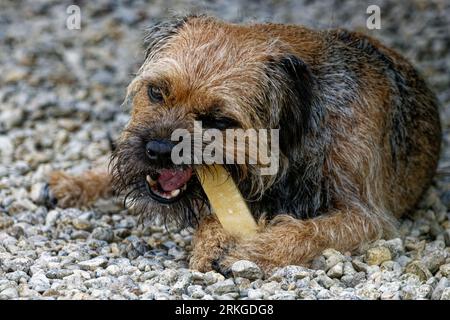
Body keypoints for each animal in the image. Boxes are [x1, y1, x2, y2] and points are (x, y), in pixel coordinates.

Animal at [47, 15, 442, 276]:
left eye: (219, 121)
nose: (156, 150)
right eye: (156, 92)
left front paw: (249, 250)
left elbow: (310, 230)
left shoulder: (364, 215)